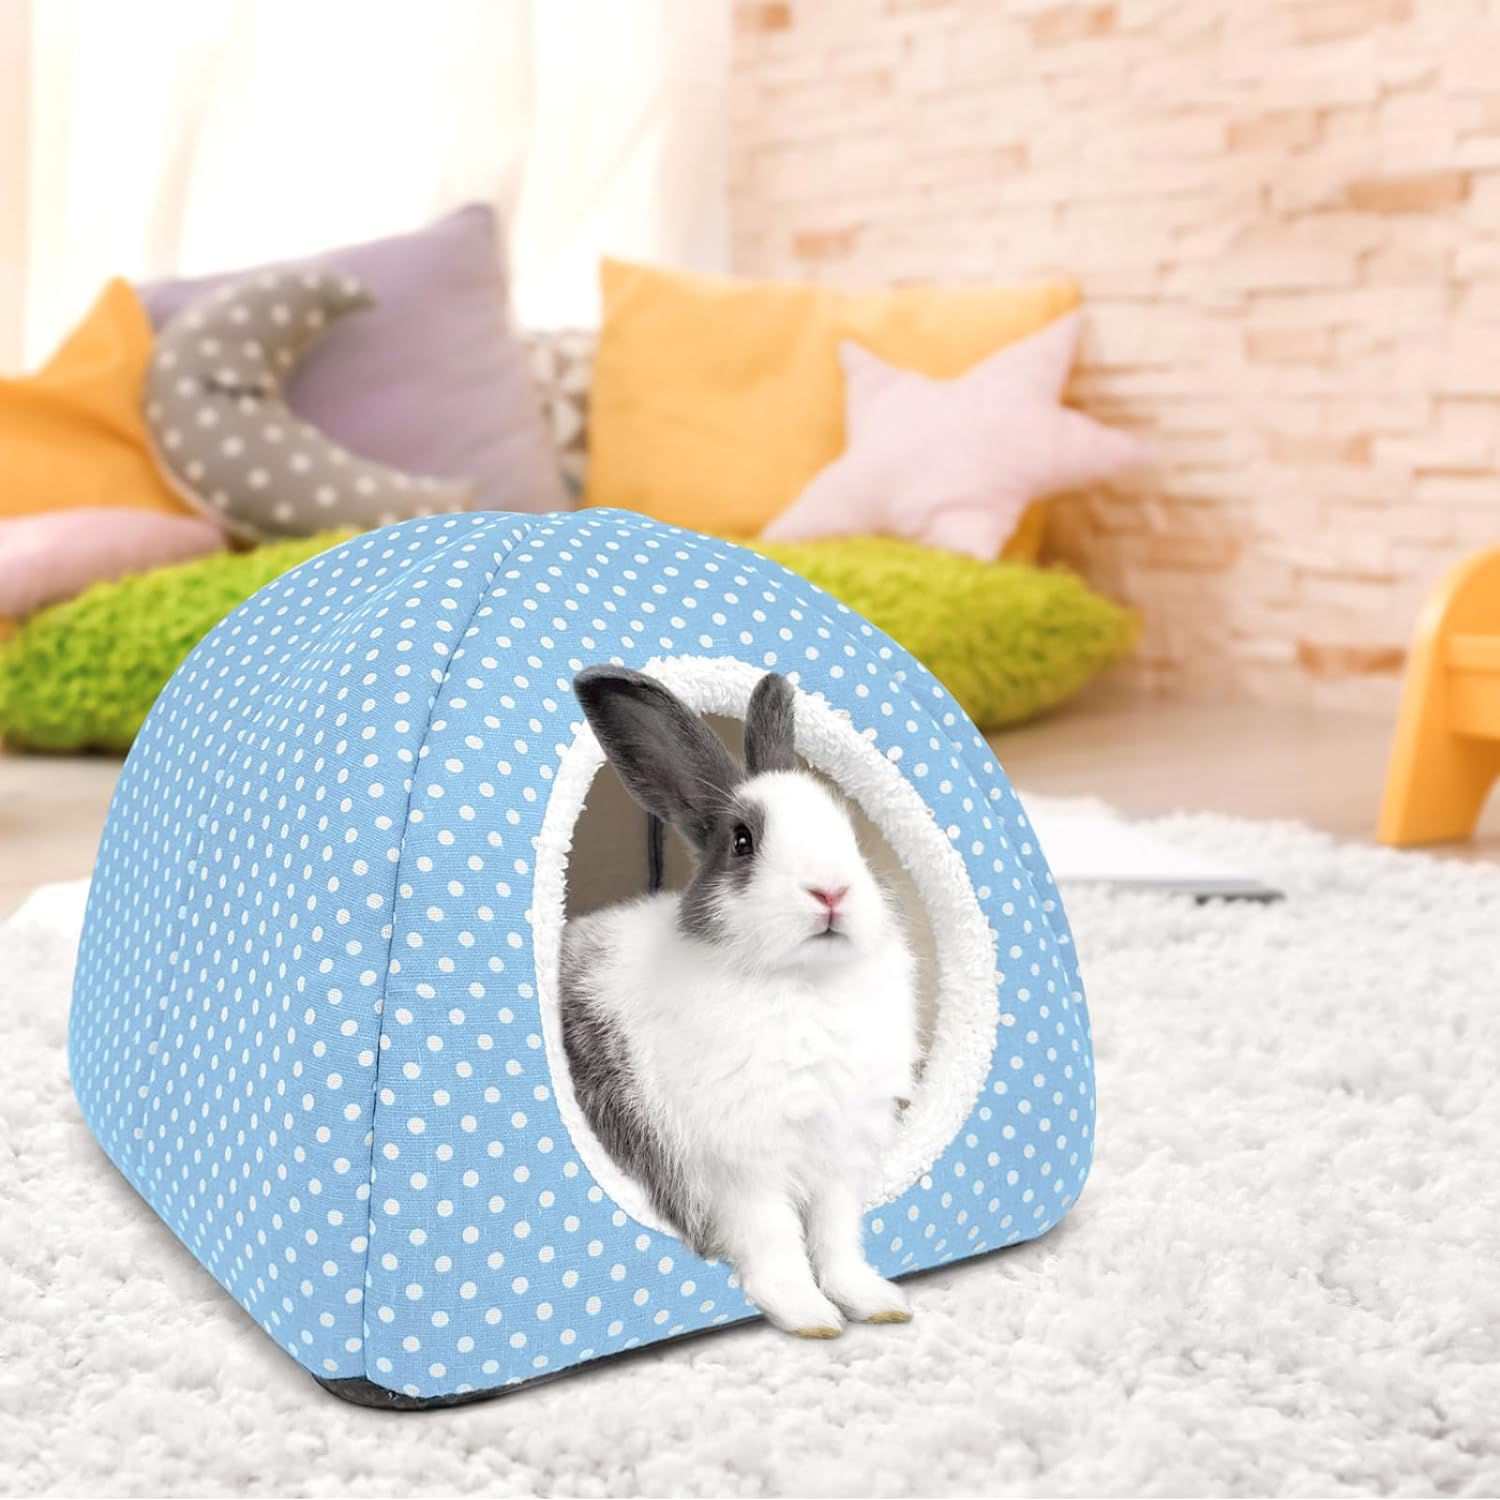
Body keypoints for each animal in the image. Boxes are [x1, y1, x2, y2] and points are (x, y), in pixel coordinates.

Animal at [560, 665, 919, 1338]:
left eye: (849, 831)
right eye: (743, 841)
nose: (831, 891)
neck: (803, 982)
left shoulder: (839, 1160)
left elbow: (838, 1240)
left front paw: (877, 1303)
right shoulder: (743, 1168)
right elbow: (776, 1243)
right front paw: (811, 1317)